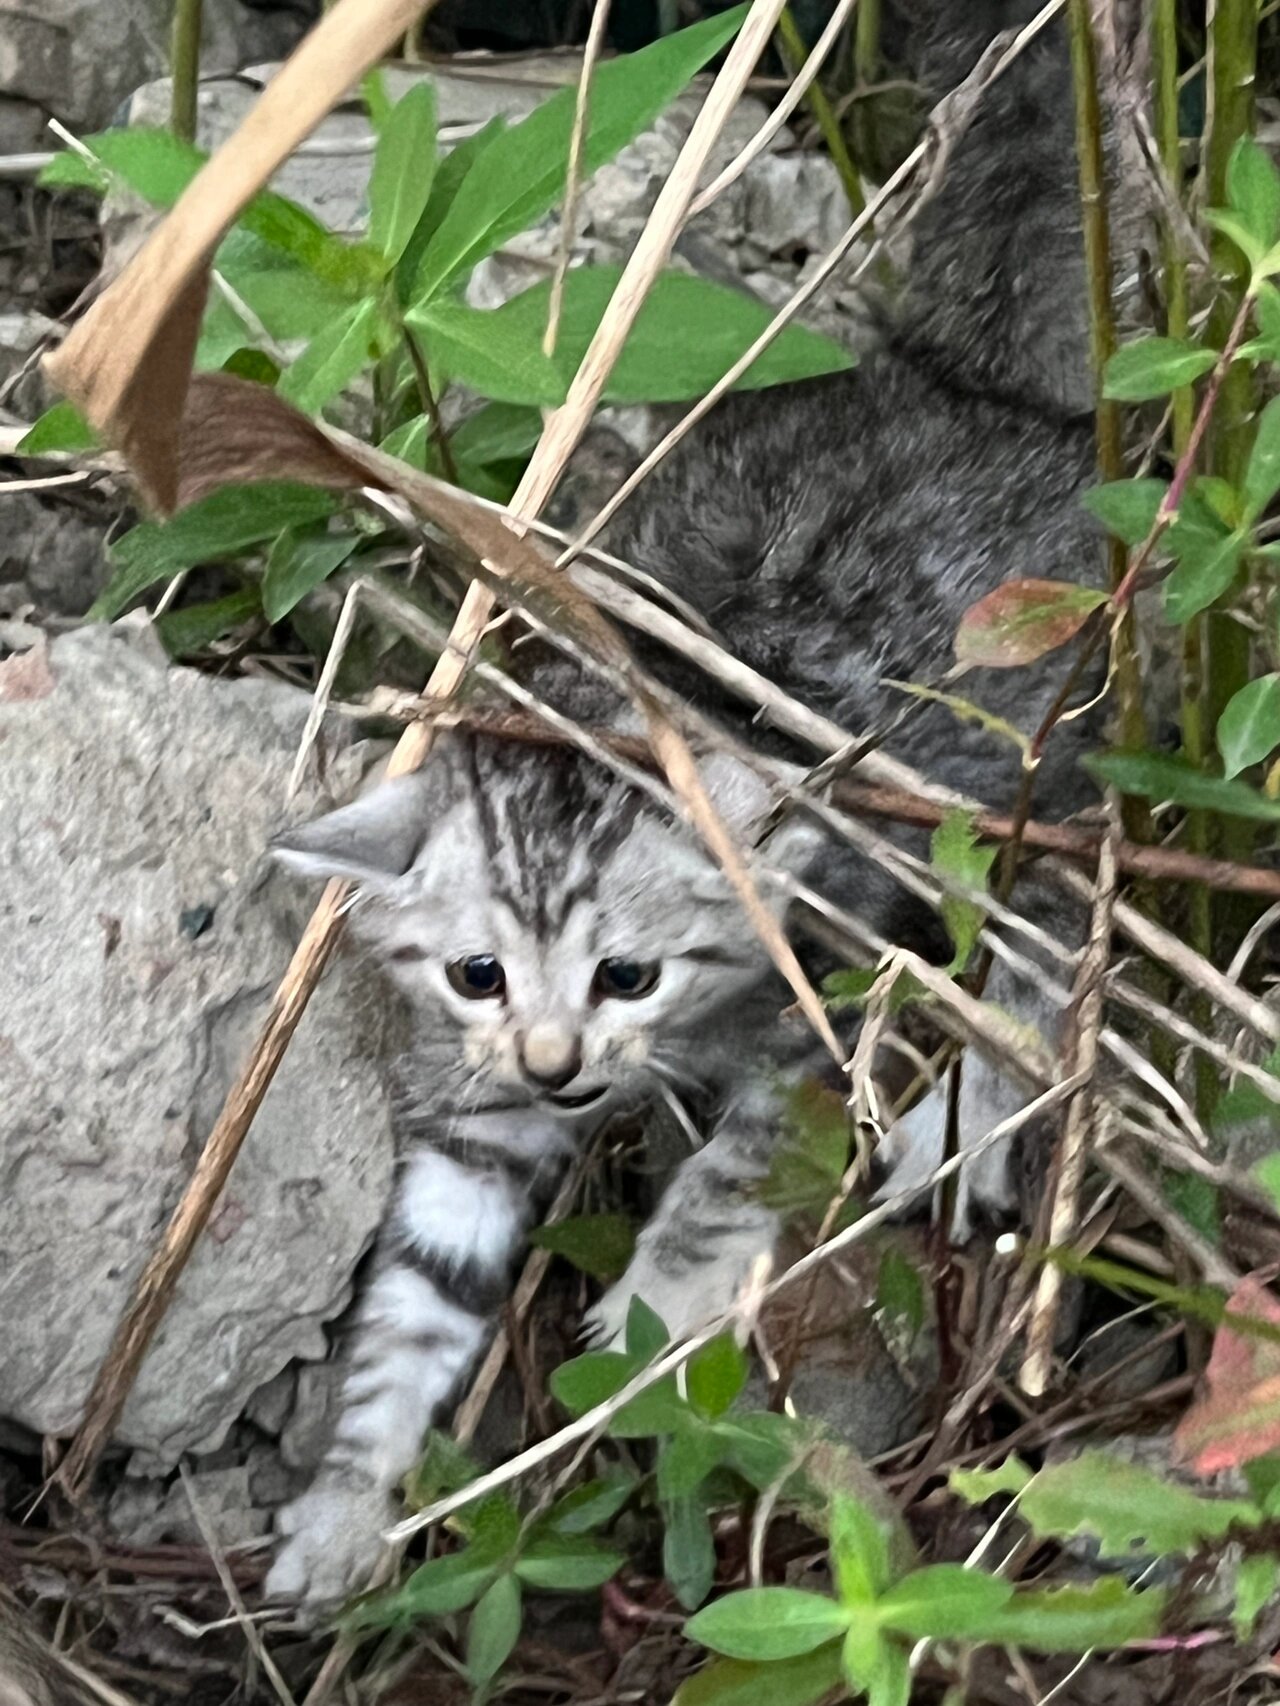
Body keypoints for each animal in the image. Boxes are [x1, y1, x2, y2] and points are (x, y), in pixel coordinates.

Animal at [267, 0, 1112, 1603]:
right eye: (475, 975)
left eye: (628, 973)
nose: (555, 1064)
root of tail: (959, 387)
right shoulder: (473, 1111)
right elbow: (416, 1293)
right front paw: (343, 1497)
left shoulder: (818, 998)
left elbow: (740, 1164)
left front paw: (655, 1297)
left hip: (1039, 764)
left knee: (1044, 937)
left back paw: (964, 1123)